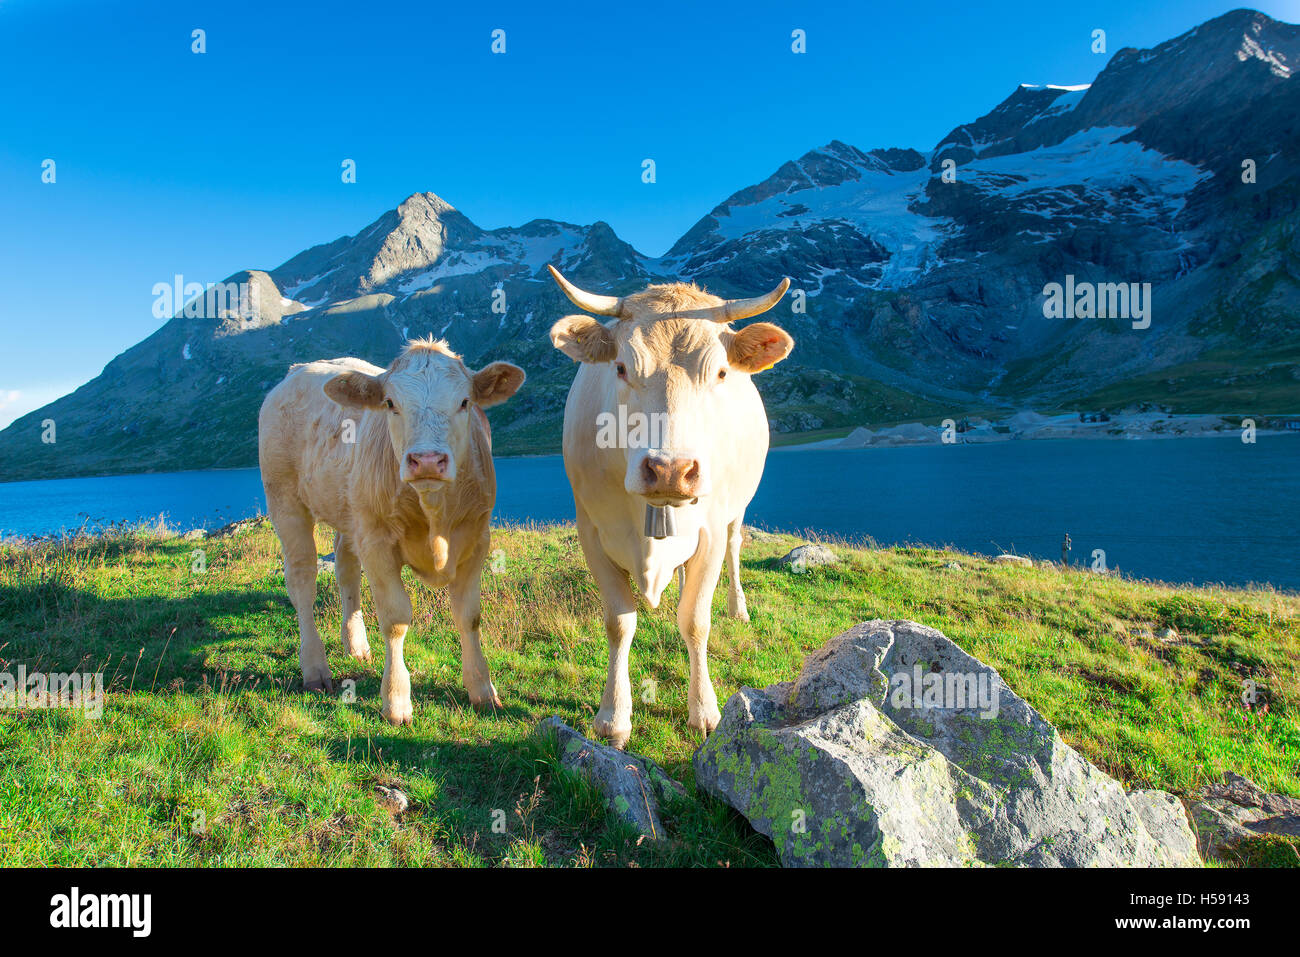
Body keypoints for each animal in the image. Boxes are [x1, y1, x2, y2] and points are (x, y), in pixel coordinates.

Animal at [258, 339, 525, 725]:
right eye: (390, 404)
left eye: (465, 402)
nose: (427, 461)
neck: (435, 518)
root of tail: (298, 370)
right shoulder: (377, 543)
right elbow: (396, 619)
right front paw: (396, 700)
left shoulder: (477, 539)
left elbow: (468, 616)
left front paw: (483, 690)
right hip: (286, 501)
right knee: (302, 581)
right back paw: (315, 667)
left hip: (350, 511)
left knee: (346, 569)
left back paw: (356, 645)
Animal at [546, 265, 793, 747]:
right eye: (621, 367)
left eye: (720, 372)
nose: (670, 470)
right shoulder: (591, 531)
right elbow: (619, 622)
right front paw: (613, 717)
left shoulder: (710, 531)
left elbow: (696, 621)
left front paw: (705, 711)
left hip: (736, 510)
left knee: (734, 550)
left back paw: (738, 607)